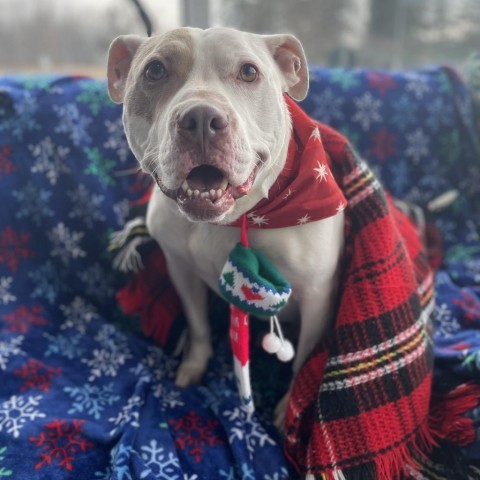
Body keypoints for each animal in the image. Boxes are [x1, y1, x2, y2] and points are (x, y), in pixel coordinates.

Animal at [107, 26, 344, 426]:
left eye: (249, 72)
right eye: (154, 71)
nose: (201, 118)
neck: (231, 221)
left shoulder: (317, 296)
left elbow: (304, 358)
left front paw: (290, 407)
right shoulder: (180, 268)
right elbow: (198, 325)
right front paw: (193, 366)